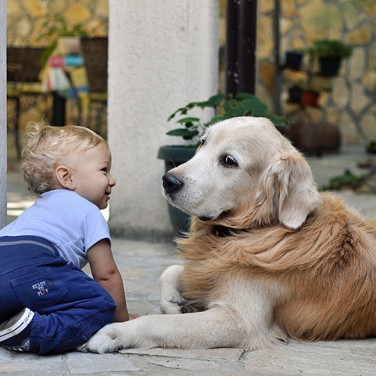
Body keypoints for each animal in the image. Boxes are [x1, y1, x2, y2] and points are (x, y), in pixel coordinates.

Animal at [82, 117, 376, 352]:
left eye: (228, 161)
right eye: (202, 142)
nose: (168, 181)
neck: (252, 230)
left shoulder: (241, 321)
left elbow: (158, 322)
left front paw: (114, 332)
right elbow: (171, 271)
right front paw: (176, 301)